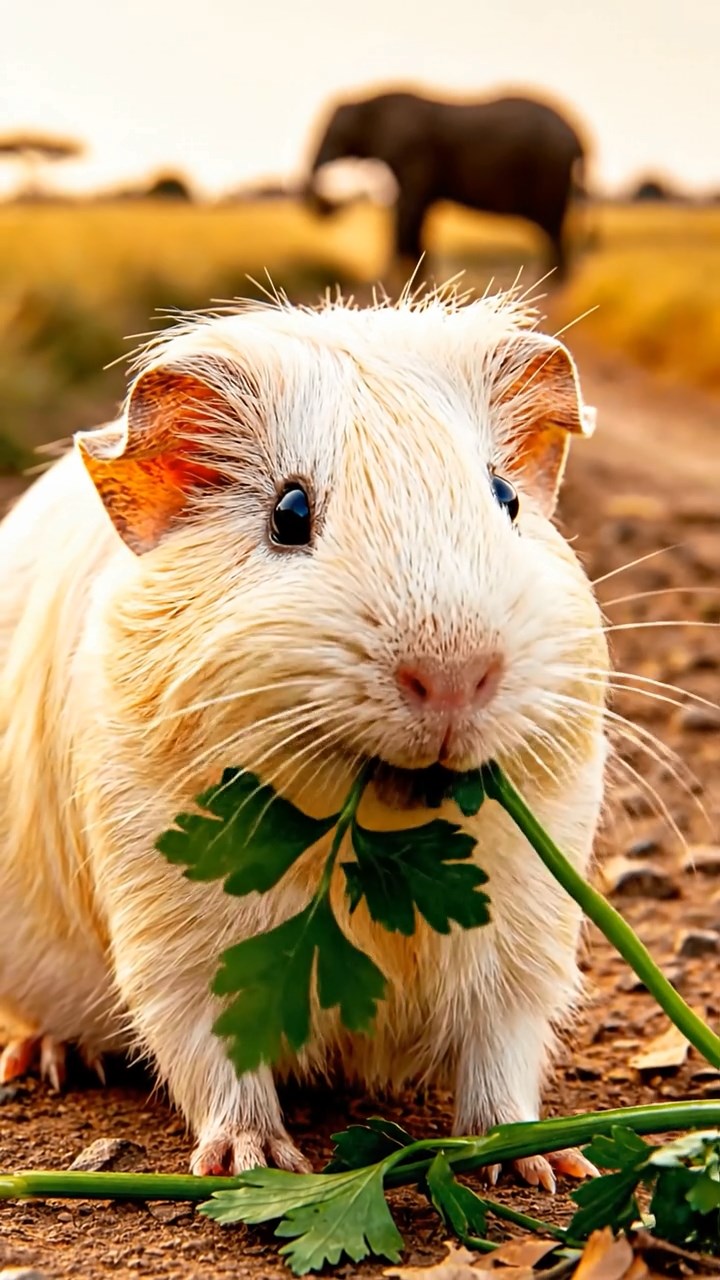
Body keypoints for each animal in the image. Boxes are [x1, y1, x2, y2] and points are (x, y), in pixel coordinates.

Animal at [306, 89, 587, 278]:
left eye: (332, 132)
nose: (326, 208)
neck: (367, 101)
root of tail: (578, 138)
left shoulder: (412, 153)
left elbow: (409, 208)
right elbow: (416, 212)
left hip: (550, 170)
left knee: (552, 226)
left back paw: (552, 283)